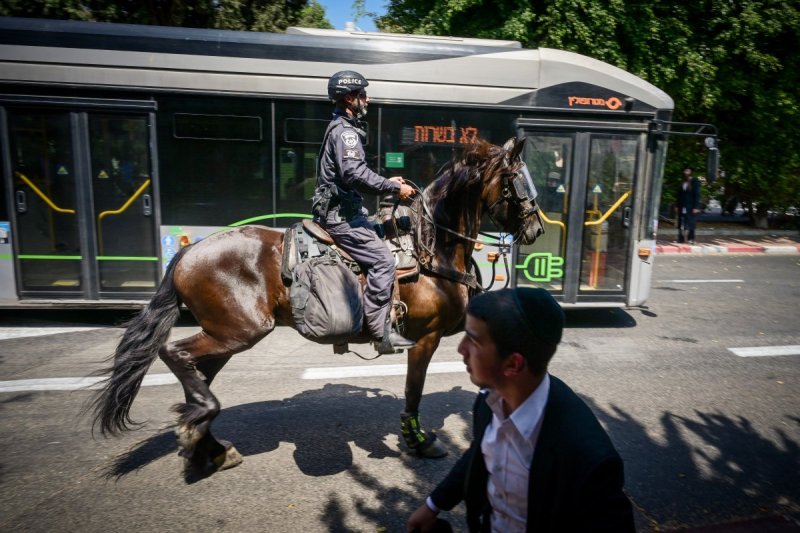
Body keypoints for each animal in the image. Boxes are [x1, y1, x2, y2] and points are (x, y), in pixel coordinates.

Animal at [90, 135, 548, 472]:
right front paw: (419, 441)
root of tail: (188, 251)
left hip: (224, 335)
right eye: (519, 180)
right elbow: (413, 391)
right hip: (239, 331)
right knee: (175, 353)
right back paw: (200, 425)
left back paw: (208, 444)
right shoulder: (426, 338)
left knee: (195, 371)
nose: (537, 229)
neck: (428, 245)